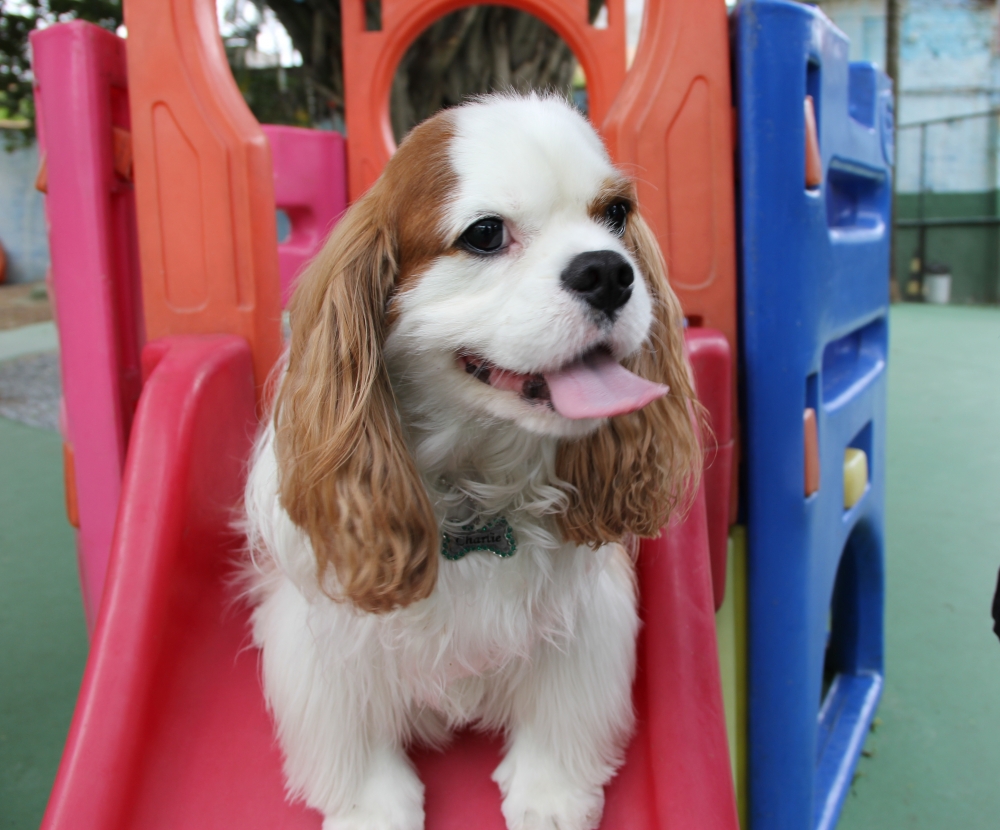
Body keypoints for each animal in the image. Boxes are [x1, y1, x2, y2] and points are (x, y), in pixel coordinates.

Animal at [244, 94, 696, 830]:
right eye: (485, 233)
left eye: (616, 215)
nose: (608, 270)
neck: (475, 485)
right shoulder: (321, 634)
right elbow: (350, 725)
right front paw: (370, 805)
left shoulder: (586, 621)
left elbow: (564, 705)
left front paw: (549, 792)